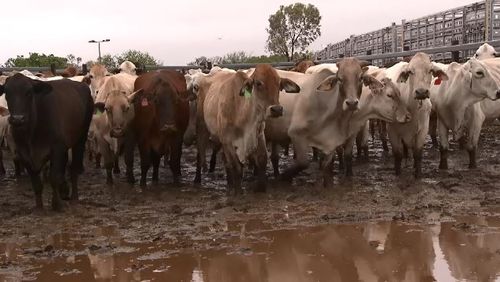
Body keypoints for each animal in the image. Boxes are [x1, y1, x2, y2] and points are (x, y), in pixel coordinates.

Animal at [0, 74, 94, 210]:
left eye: (29, 92)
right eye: (7, 92)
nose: (18, 119)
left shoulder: (57, 148)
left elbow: (54, 177)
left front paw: (57, 204)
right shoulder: (24, 154)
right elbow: (36, 183)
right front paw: (39, 207)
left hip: (80, 139)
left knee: (74, 168)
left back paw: (74, 197)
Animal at [203, 64, 300, 194]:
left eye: (279, 84)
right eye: (258, 83)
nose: (277, 109)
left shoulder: (259, 134)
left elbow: (262, 159)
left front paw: (260, 187)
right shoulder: (227, 142)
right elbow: (236, 166)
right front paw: (238, 191)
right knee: (227, 162)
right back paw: (229, 182)